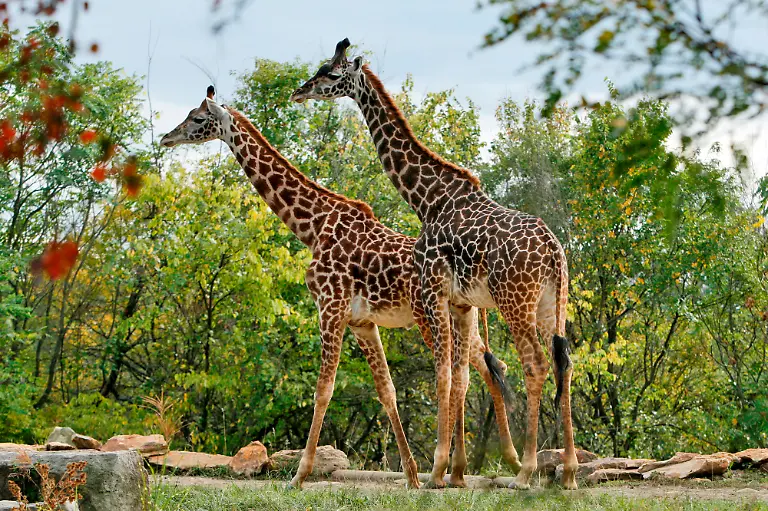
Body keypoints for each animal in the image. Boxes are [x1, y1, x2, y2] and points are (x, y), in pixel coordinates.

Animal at [159, 87, 517, 489]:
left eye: (197, 118)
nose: (167, 137)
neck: (313, 227)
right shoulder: (362, 322)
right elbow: (386, 391)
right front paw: (410, 475)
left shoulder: (329, 308)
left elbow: (322, 391)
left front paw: (298, 476)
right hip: (460, 320)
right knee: (486, 368)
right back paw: (471, 470)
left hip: (430, 317)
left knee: (469, 372)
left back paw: (472, 469)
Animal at [291, 39, 578, 490]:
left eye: (332, 74)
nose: (300, 91)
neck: (428, 200)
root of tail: (553, 249)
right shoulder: (460, 301)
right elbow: (458, 375)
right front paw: (451, 470)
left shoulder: (432, 290)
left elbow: (442, 373)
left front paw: (438, 470)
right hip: (553, 301)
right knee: (565, 362)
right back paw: (568, 472)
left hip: (515, 301)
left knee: (535, 364)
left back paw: (526, 472)